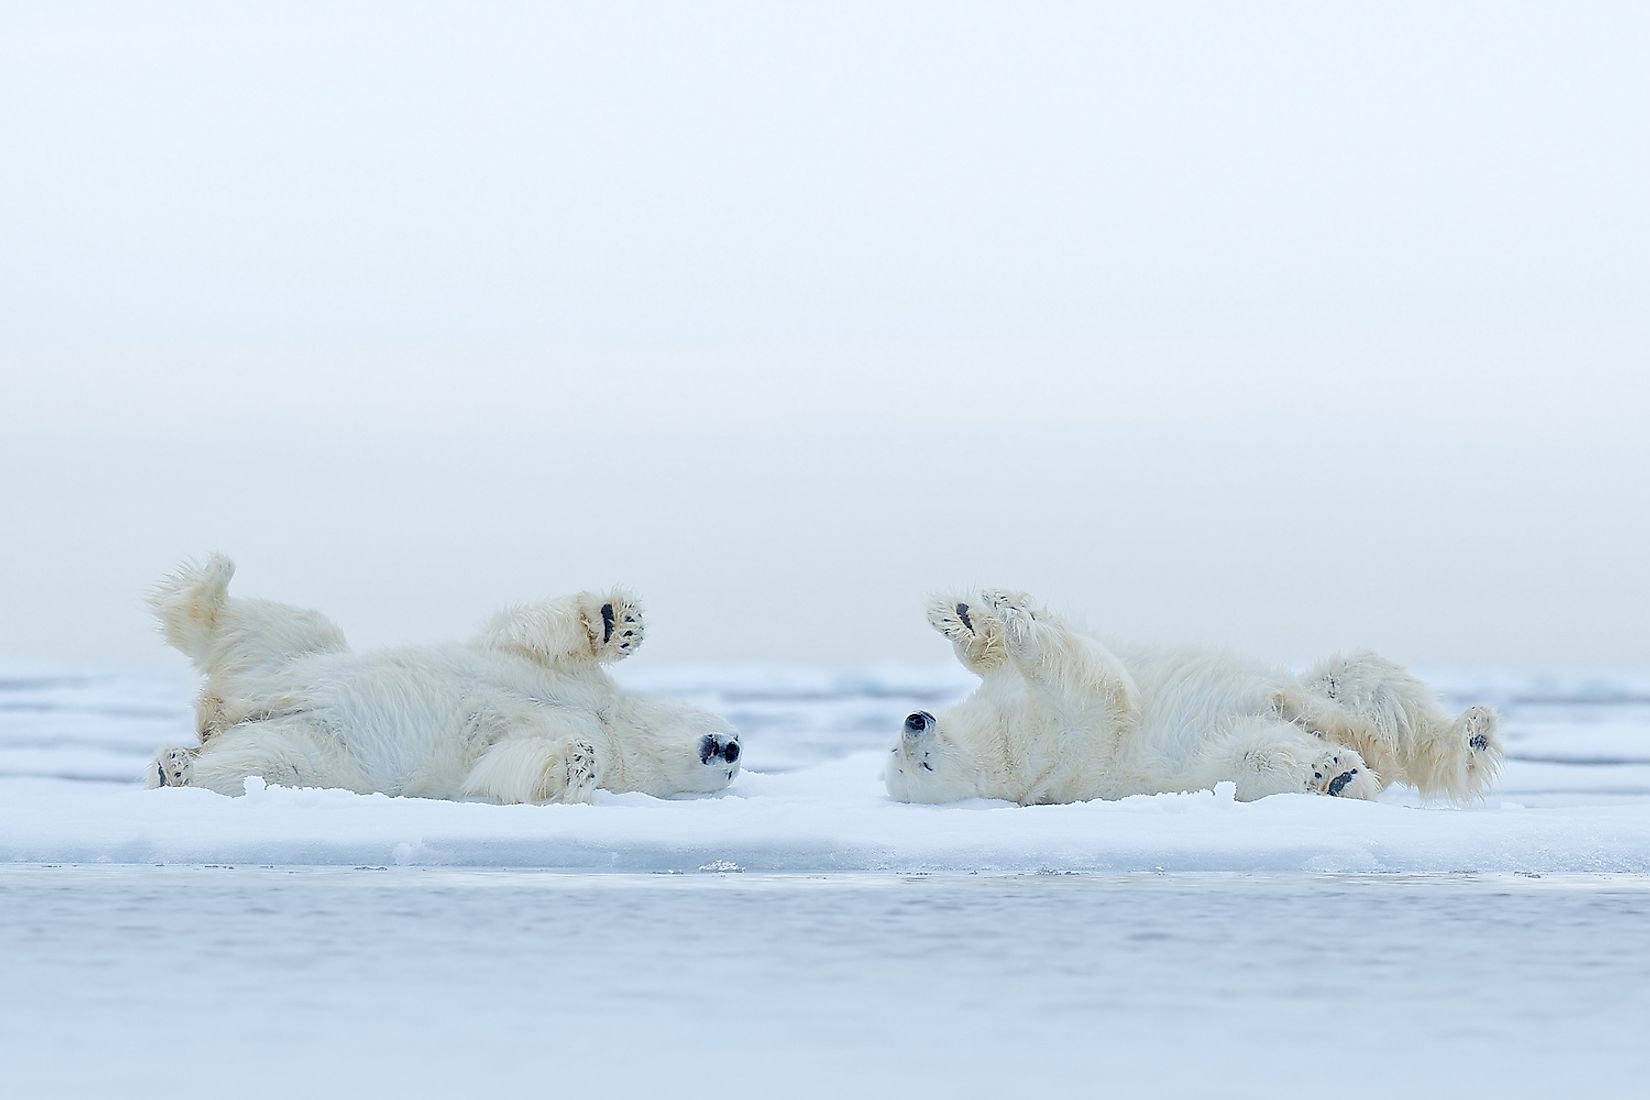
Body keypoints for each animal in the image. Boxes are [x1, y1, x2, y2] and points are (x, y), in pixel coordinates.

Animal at [148, 560, 742, 801]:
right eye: (733, 730)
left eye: (737, 768)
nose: (732, 748)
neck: (614, 726)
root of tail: (221, 715)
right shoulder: (562, 679)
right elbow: (530, 637)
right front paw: (618, 621)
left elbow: (508, 764)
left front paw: (576, 762)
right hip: (297, 660)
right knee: (276, 627)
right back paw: (211, 585)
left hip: (320, 754)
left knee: (263, 764)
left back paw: (177, 766)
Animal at [891, 590, 1511, 804]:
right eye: (914, 766)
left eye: (900, 753)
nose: (914, 720)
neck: (999, 741)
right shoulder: (1057, 743)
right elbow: (1098, 688)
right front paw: (1019, 625)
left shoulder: (1008, 703)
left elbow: (999, 656)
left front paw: (971, 612)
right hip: (1214, 758)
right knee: (1264, 753)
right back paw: (1337, 772)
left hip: (1330, 691)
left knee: (1367, 683)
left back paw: (1471, 734)